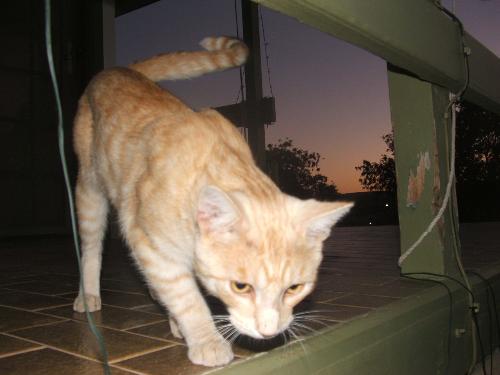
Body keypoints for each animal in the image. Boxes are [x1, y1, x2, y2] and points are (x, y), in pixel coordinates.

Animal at [72, 36, 352, 368]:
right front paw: (205, 339)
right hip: (90, 190)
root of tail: (121, 69)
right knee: (91, 249)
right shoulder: (150, 244)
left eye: (294, 288)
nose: (269, 331)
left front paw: (178, 322)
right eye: (241, 287)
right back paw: (88, 295)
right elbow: (187, 298)